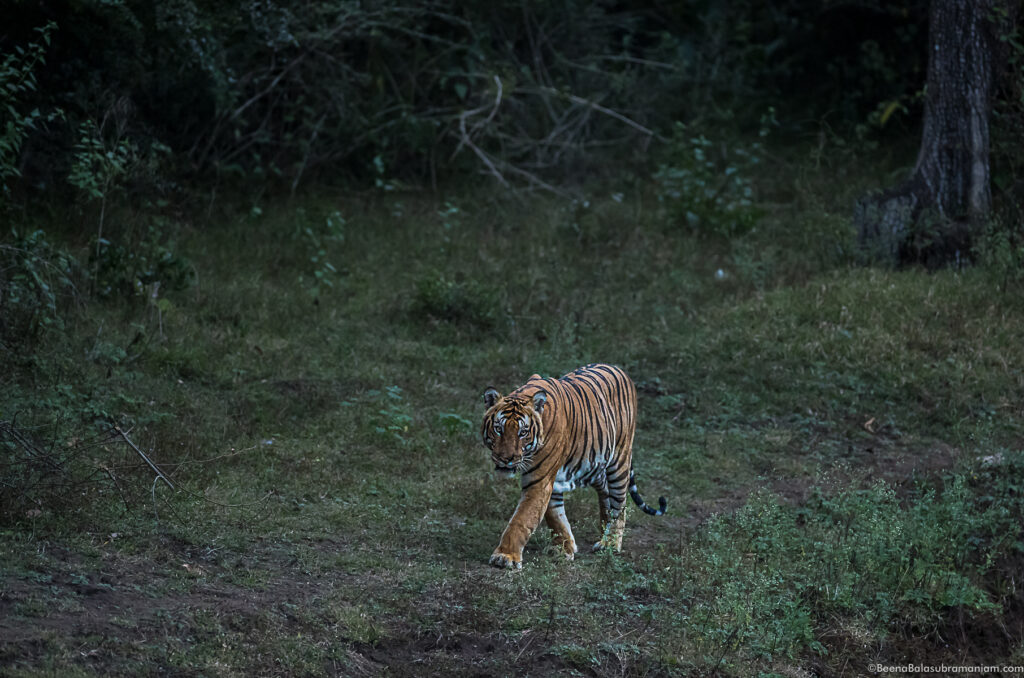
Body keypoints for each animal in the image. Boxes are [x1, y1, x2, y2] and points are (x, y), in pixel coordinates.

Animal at [479, 364, 663, 569]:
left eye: (523, 432)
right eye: (498, 429)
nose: (506, 458)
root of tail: (620, 369)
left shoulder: (539, 481)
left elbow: (521, 519)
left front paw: (505, 556)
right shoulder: (552, 481)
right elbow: (555, 516)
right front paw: (564, 548)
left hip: (619, 459)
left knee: (619, 504)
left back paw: (610, 543)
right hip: (595, 465)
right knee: (605, 493)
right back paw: (603, 532)